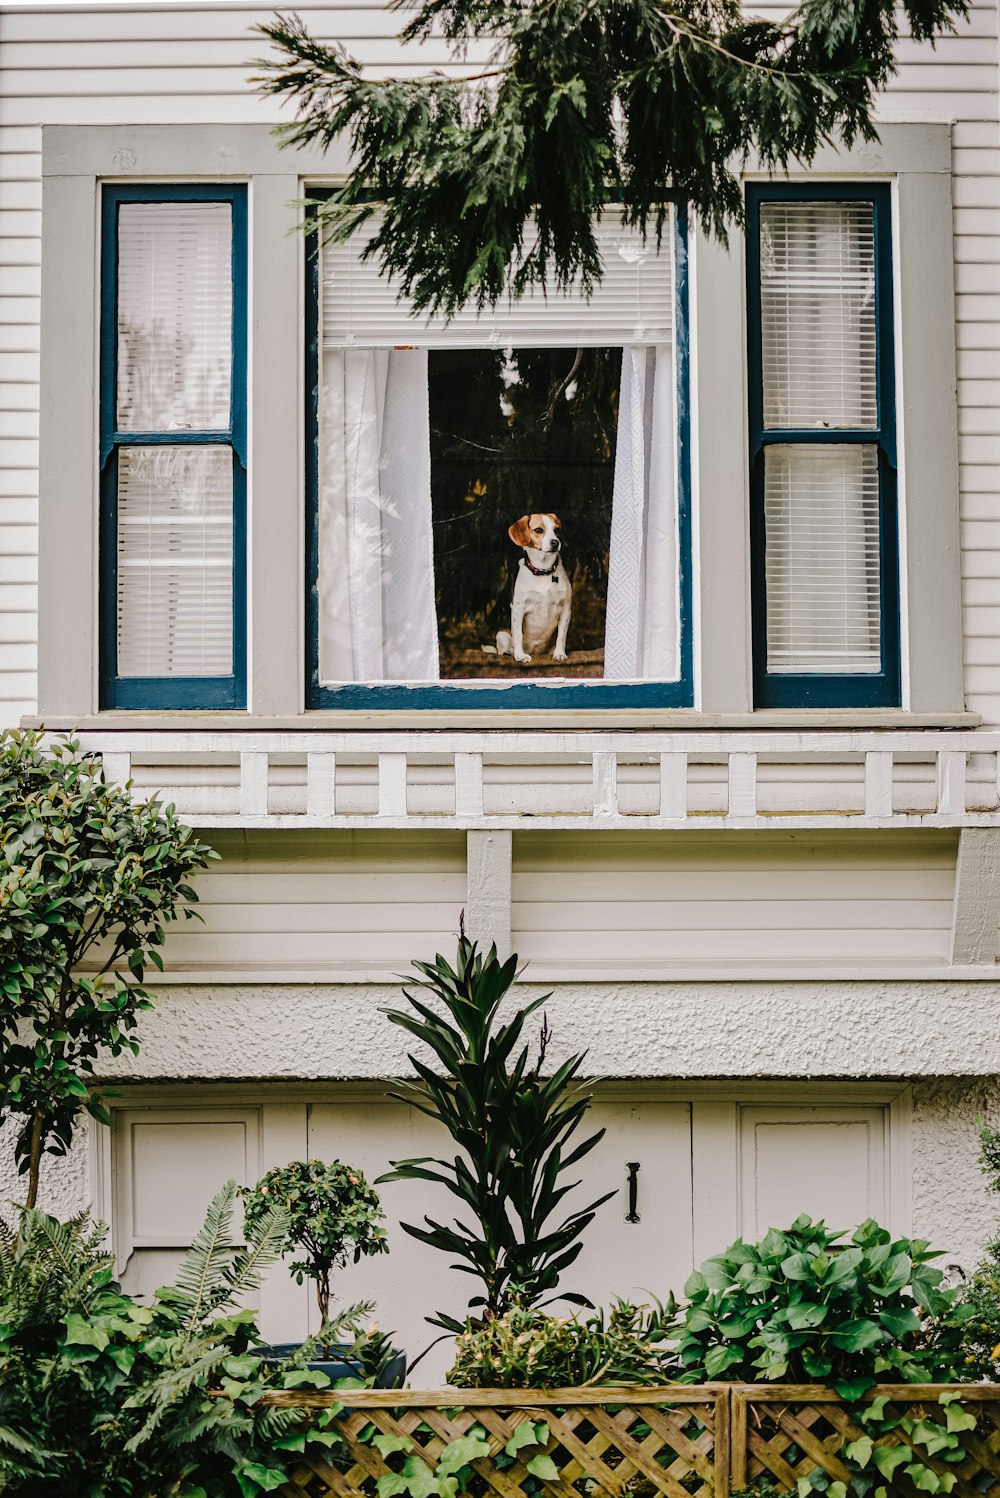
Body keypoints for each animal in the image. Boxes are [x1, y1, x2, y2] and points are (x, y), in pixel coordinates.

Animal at [485, 512, 568, 665]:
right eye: (538, 530)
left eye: (557, 529)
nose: (555, 542)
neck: (543, 570)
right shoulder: (518, 608)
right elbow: (518, 636)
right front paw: (520, 656)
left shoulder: (566, 608)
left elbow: (561, 636)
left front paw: (559, 654)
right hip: (502, 634)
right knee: (502, 648)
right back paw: (508, 653)